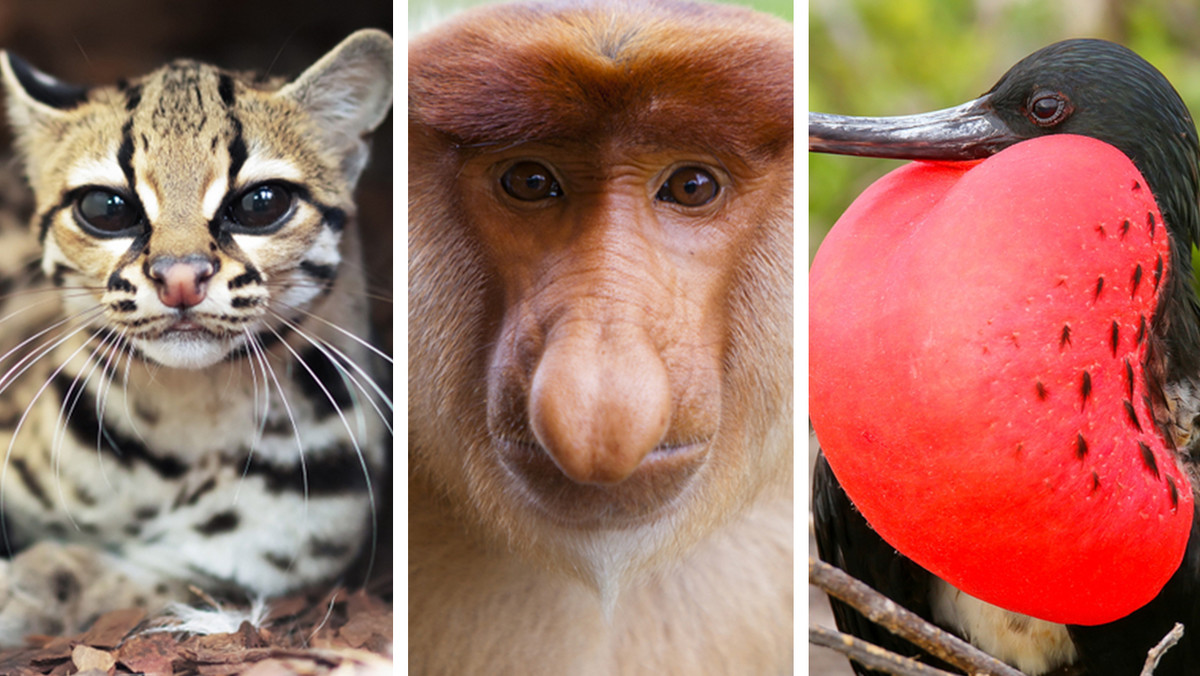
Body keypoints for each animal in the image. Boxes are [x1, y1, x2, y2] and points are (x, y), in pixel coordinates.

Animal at [0, 29, 393, 643]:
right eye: (105, 207)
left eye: (260, 203)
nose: (180, 277)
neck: (188, 421)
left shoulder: (243, 561)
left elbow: (127, 578)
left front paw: (28, 585)